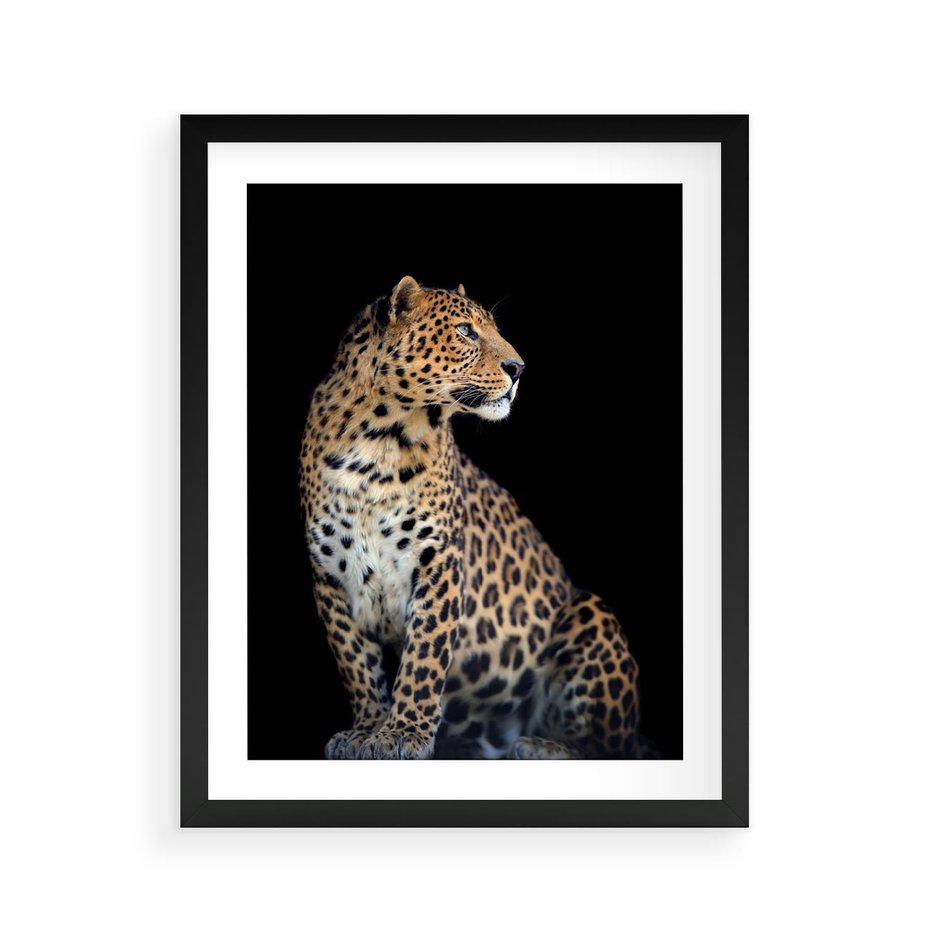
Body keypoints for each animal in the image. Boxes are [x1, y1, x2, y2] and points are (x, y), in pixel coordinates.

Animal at [300, 276, 648, 760]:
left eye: (493, 329)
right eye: (465, 331)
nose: (519, 368)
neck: (377, 441)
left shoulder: (439, 562)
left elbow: (424, 657)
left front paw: (402, 734)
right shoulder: (330, 574)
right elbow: (356, 663)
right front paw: (366, 730)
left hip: (590, 612)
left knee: (611, 745)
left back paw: (543, 746)